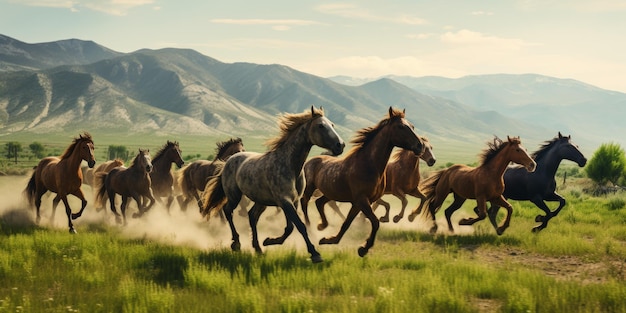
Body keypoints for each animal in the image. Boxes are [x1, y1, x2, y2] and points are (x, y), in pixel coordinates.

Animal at [202, 106, 344, 262]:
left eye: (332, 125)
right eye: (320, 126)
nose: (340, 145)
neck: (290, 166)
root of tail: (229, 160)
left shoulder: (293, 202)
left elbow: (290, 227)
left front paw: (269, 241)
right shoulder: (285, 201)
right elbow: (299, 225)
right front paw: (315, 253)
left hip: (260, 200)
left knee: (252, 216)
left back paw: (258, 248)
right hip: (234, 195)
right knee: (228, 211)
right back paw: (236, 244)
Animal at [298, 107, 424, 256]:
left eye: (412, 126)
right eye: (400, 127)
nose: (420, 146)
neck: (368, 165)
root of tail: (309, 162)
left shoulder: (359, 203)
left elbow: (347, 223)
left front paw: (329, 240)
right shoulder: (361, 200)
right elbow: (375, 222)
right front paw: (364, 248)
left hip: (330, 193)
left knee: (319, 202)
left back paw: (322, 225)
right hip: (310, 188)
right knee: (304, 202)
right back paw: (310, 227)